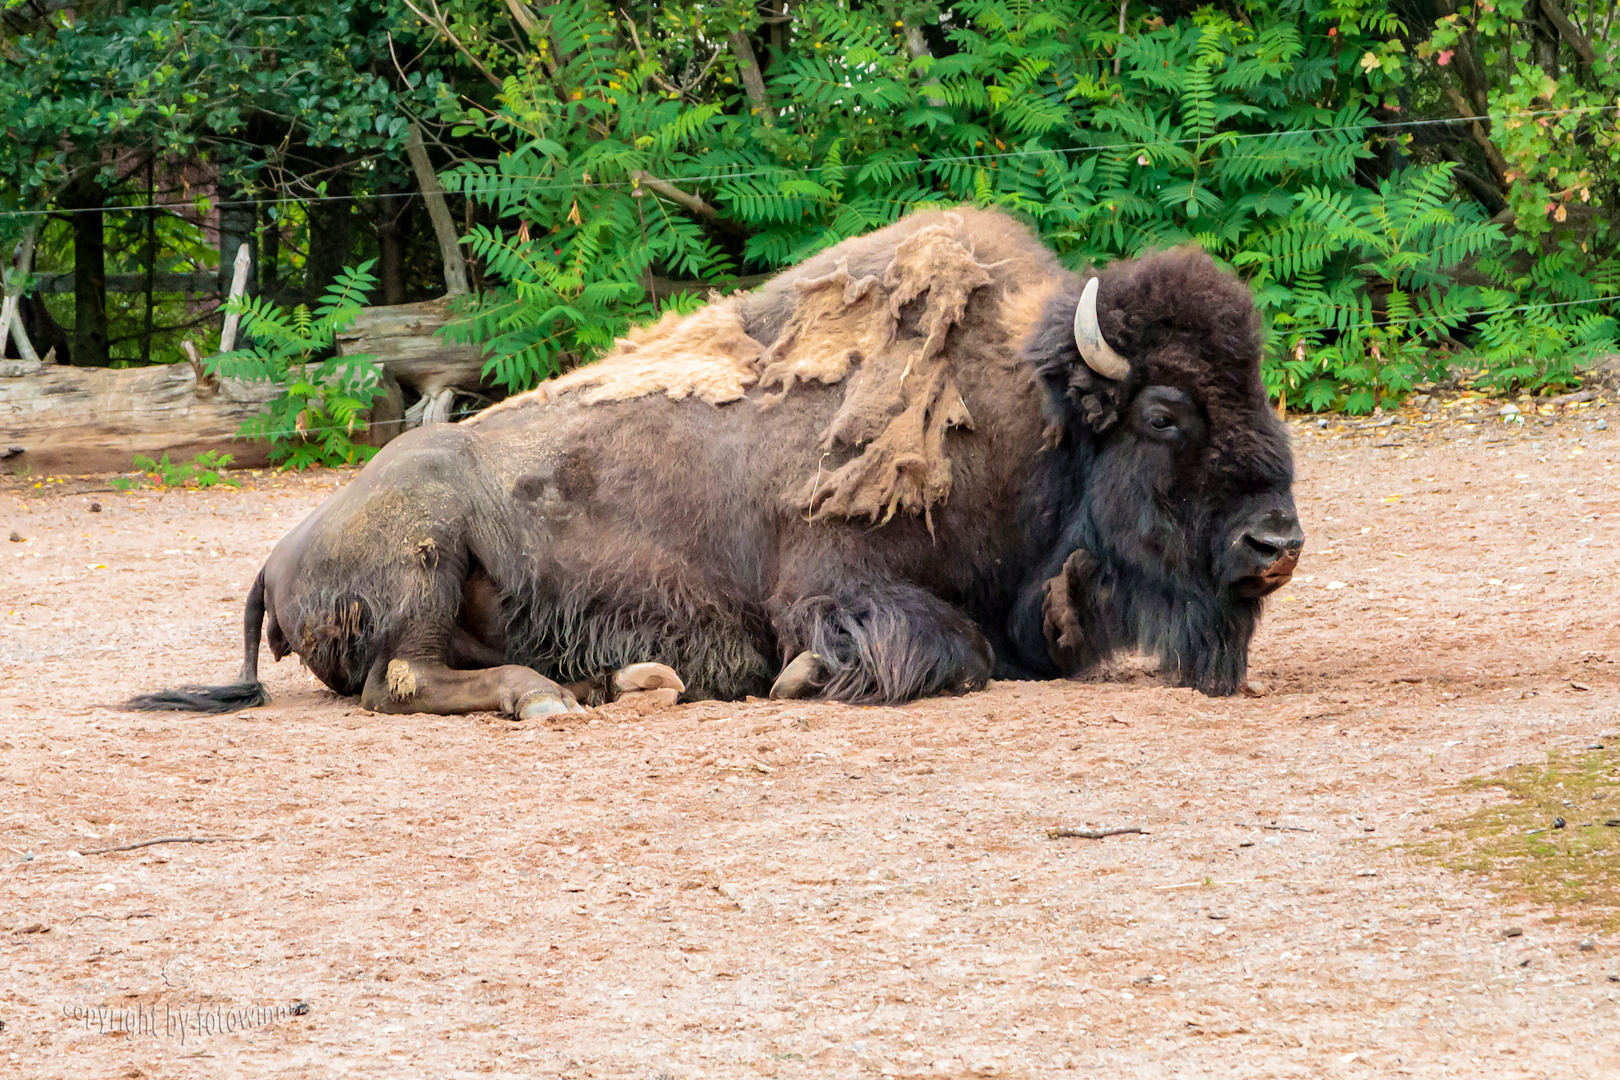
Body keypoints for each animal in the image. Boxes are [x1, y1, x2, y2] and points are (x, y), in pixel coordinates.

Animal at [132, 208, 1308, 722]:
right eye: (1165, 412)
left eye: (1258, 389)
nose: (1277, 541)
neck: (1033, 417)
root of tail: (280, 552)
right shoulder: (836, 584)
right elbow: (947, 650)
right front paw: (800, 678)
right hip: (425, 548)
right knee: (406, 677)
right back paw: (554, 699)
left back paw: (624, 680)